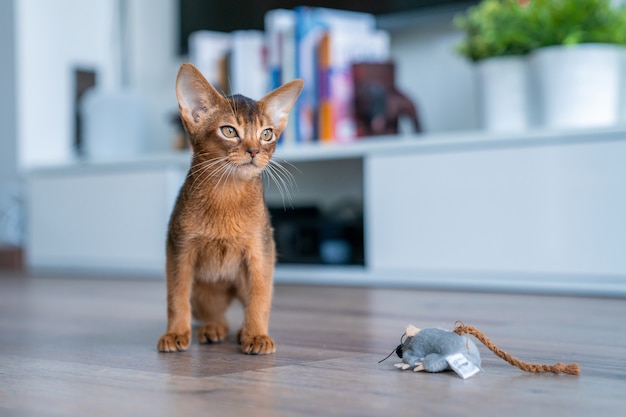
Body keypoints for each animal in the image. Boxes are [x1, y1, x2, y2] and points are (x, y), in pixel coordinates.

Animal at [157, 62, 302, 354]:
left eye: (266, 134)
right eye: (229, 131)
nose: (254, 150)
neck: (227, 192)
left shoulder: (260, 251)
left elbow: (259, 300)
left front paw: (256, 335)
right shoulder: (179, 250)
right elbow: (176, 296)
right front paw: (176, 332)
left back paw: (244, 331)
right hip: (203, 291)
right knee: (217, 316)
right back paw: (213, 329)